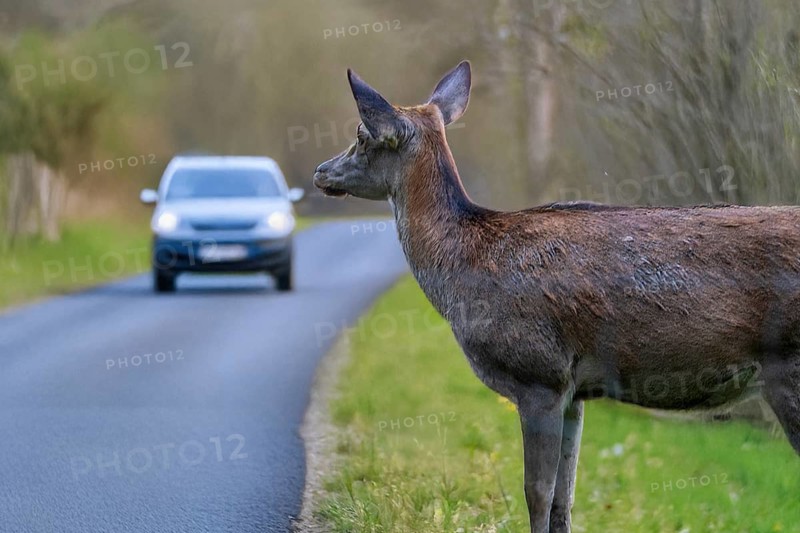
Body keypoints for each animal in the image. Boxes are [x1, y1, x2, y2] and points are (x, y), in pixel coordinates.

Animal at [312, 60, 800, 532]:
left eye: (362, 135)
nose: (320, 171)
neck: (462, 270)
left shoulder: (538, 375)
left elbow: (537, 494)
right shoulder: (574, 392)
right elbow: (565, 498)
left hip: (788, 366)